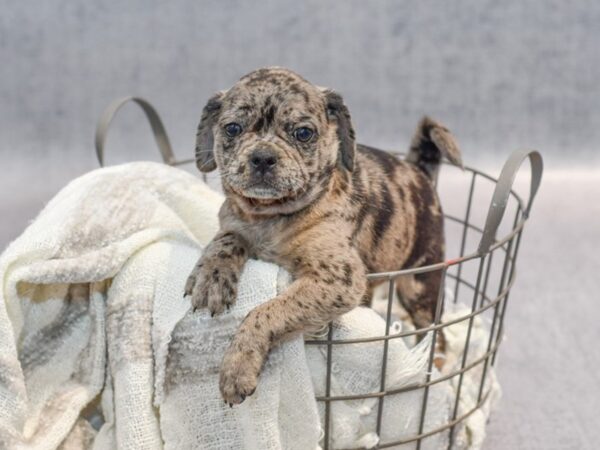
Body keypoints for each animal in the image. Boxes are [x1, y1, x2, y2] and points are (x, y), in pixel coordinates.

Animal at [185, 66, 462, 404]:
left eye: (303, 133)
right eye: (233, 129)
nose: (262, 157)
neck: (271, 216)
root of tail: (419, 170)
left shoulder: (336, 278)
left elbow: (267, 310)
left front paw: (238, 365)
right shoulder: (233, 223)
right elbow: (225, 240)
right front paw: (210, 276)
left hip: (420, 285)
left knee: (436, 331)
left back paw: (437, 369)